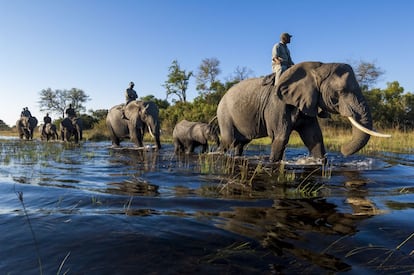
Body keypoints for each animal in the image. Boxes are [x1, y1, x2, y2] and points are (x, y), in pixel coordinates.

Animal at [217, 61, 392, 163]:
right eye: (340, 92)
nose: (342, 151)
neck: (316, 68)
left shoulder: (307, 103)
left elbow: (314, 137)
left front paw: (320, 162)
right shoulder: (277, 104)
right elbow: (281, 137)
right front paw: (273, 163)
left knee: (241, 142)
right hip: (224, 114)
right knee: (229, 140)